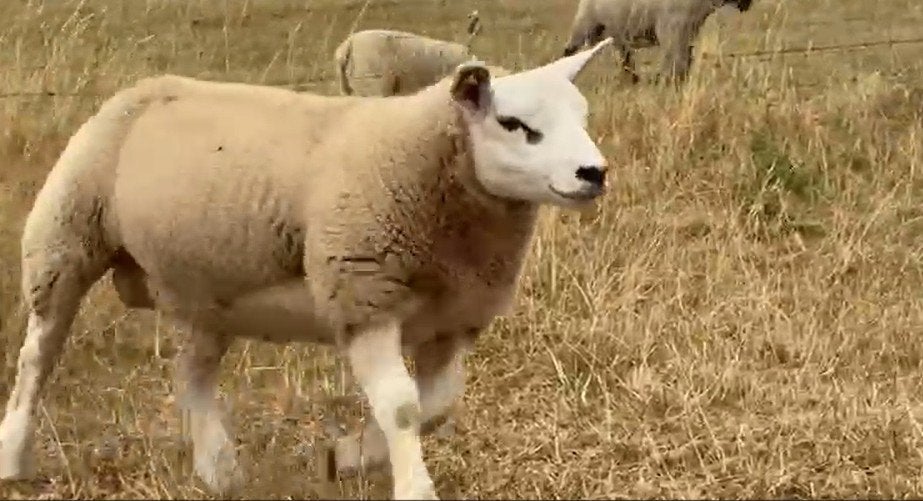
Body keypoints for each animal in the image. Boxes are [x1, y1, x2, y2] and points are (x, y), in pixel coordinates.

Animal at [0, 38, 614, 500]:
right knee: (38, 356)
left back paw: (219, 470)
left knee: (191, 373)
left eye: (584, 116)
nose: (594, 173)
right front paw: (411, 487)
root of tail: (142, 89)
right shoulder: (362, 295)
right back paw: (14, 455)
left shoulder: (455, 316)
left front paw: (344, 458)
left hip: (205, 287)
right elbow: (404, 408)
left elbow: (437, 407)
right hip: (64, 240)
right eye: (513, 123)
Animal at [562, 0, 753, 84]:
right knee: (569, 49)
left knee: (625, 59)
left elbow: (684, 62)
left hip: (616, 34)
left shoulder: (685, 34)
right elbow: (676, 63)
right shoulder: (672, 30)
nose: (748, 3)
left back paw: (632, 80)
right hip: (585, 25)